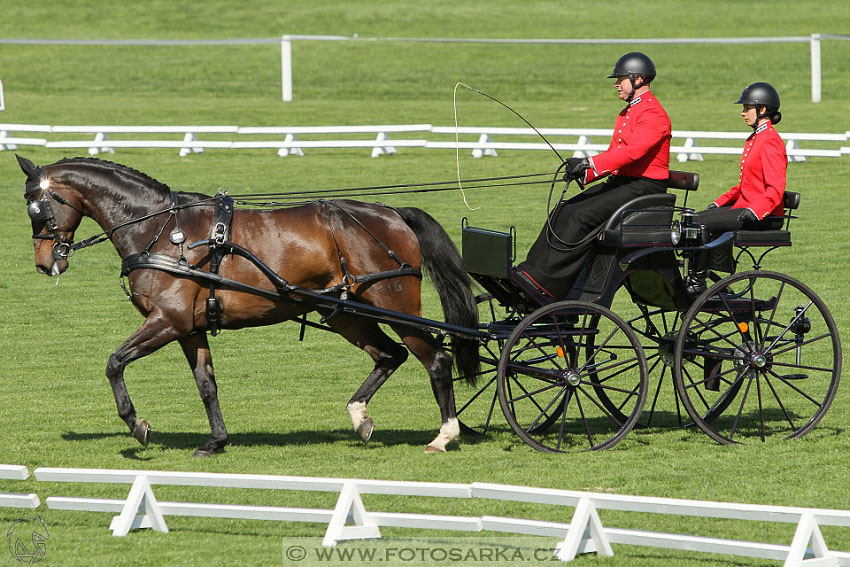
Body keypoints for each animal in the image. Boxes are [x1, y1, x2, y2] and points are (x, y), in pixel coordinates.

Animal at [18, 155, 476, 458]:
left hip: (393, 304)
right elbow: (206, 384)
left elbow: (114, 363)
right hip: (346, 314)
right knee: (390, 355)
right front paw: (216, 441)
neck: (162, 230)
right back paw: (360, 417)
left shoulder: (167, 320)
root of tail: (392, 213)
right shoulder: (189, 328)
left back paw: (444, 434)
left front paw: (138, 426)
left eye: (36, 207)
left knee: (435, 359)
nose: (45, 263)